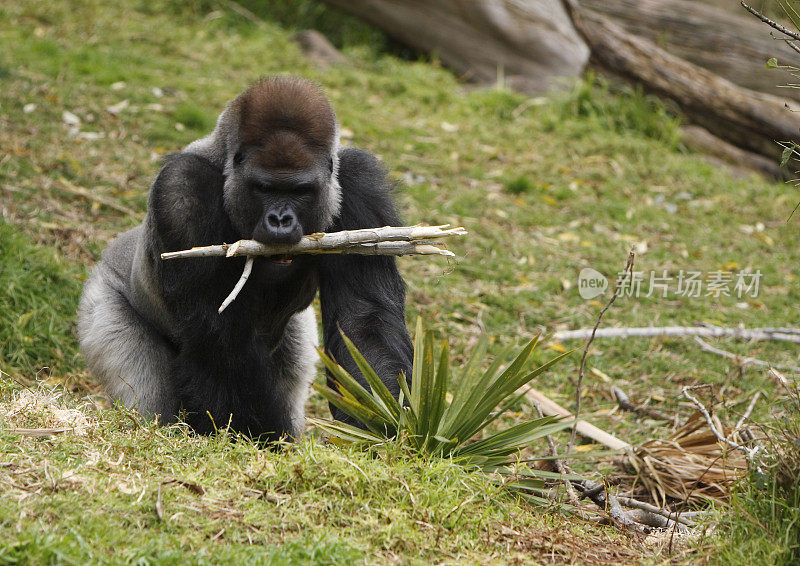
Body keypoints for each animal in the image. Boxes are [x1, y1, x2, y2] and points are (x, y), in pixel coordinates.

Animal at [77, 76, 412, 440]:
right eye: (264, 188)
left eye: (300, 191)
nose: (280, 220)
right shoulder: (181, 189)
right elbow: (221, 338)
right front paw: (269, 442)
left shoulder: (359, 181)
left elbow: (363, 320)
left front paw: (386, 428)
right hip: (102, 300)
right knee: (148, 392)